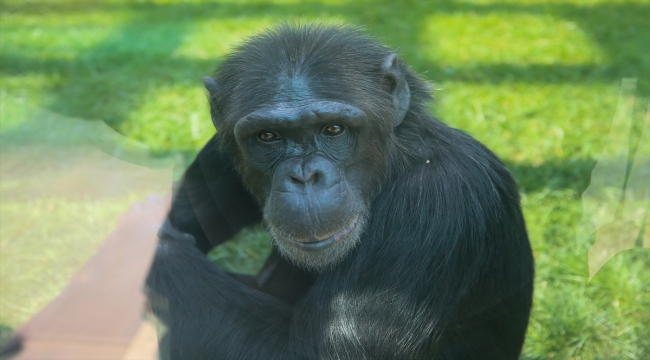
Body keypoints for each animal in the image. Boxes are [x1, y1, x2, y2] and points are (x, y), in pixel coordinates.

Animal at [146, 23, 532, 360]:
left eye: (334, 129)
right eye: (268, 136)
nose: (305, 176)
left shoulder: (437, 201)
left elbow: (319, 353)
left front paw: (152, 245)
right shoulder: (219, 152)